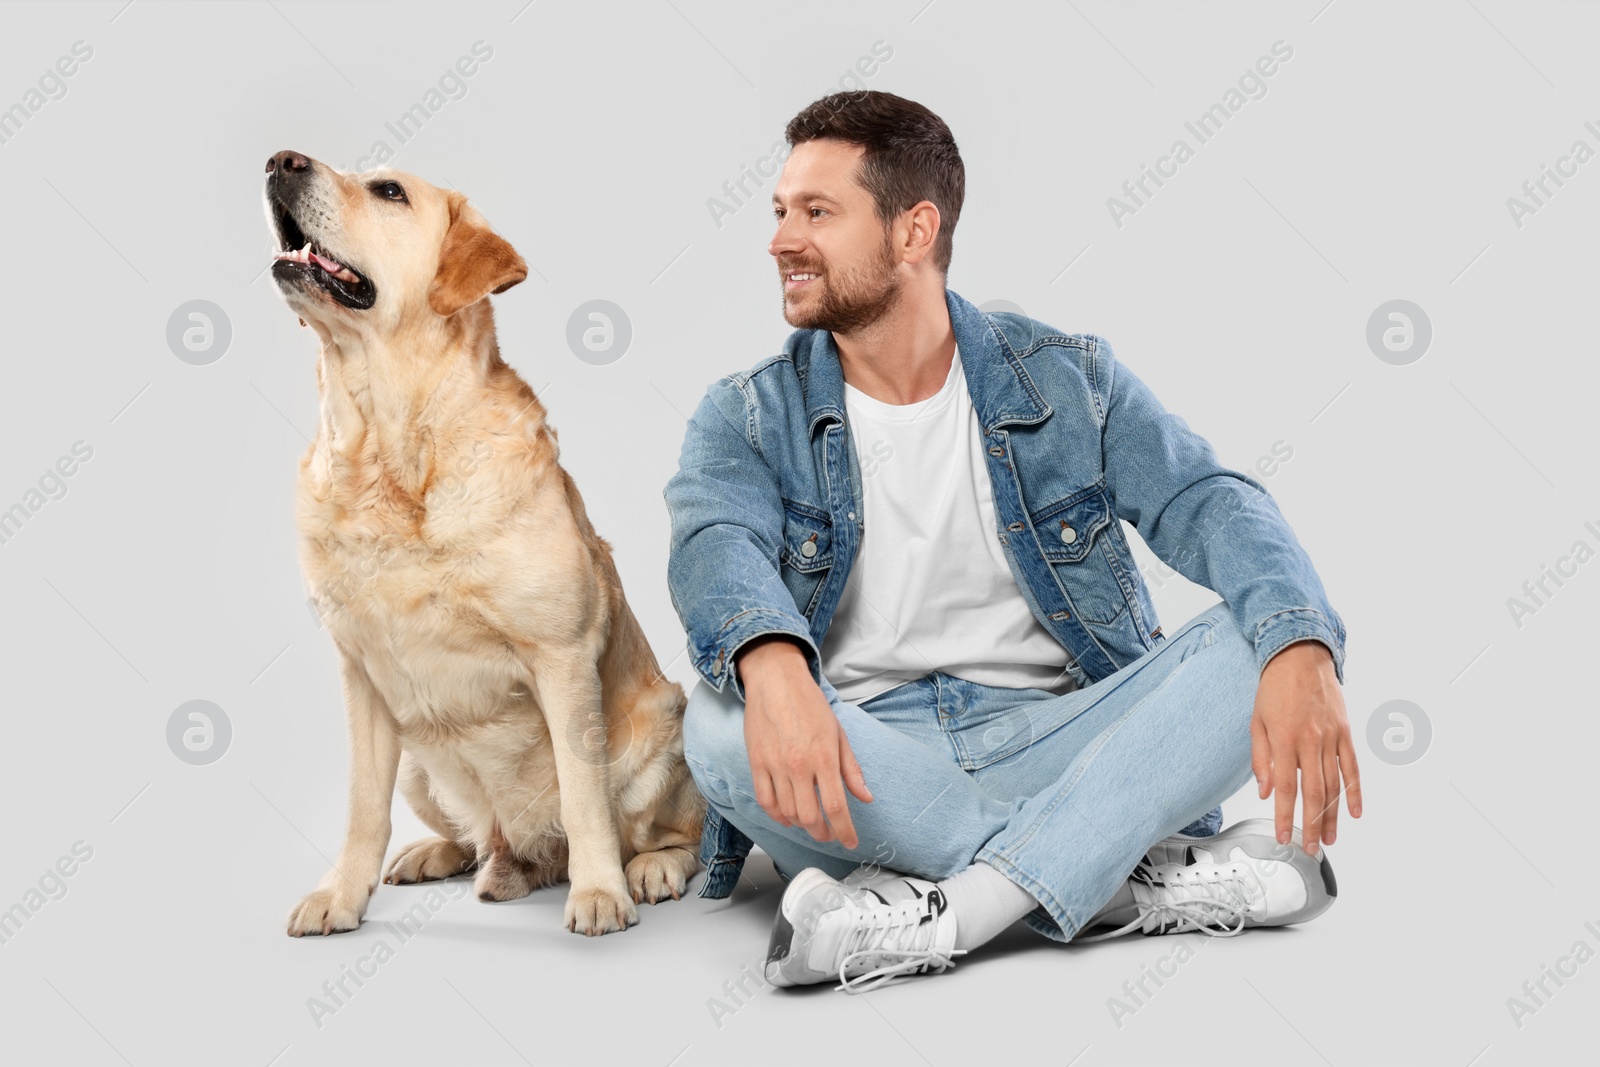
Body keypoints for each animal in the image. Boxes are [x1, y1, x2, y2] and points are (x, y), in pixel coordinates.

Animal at [262, 147, 700, 934]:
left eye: (389, 191)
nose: (282, 160)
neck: (388, 448)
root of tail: (523, 855)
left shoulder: (561, 658)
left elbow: (584, 799)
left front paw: (599, 892)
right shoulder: (360, 674)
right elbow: (362, 808)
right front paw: (342, 894)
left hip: (662, 731)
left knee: (676, 831)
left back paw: (648, 868)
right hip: (418, 762)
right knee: (474, 836)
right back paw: (443, 854)